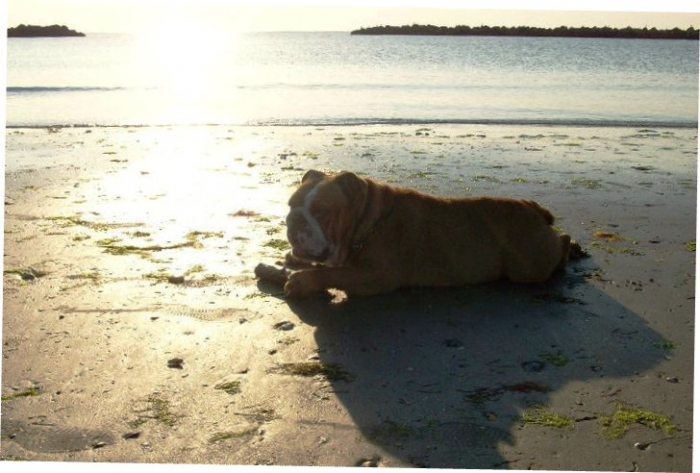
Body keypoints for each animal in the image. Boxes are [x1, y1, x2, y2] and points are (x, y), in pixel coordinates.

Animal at [284, 169, 576, 296]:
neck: (367, 220)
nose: (294, 219)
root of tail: (534, 208)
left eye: (321, 211)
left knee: (562, 241)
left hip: (527, 266)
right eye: (290, 205)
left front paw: (302, 280)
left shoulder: (376, 275)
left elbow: (332, 273)